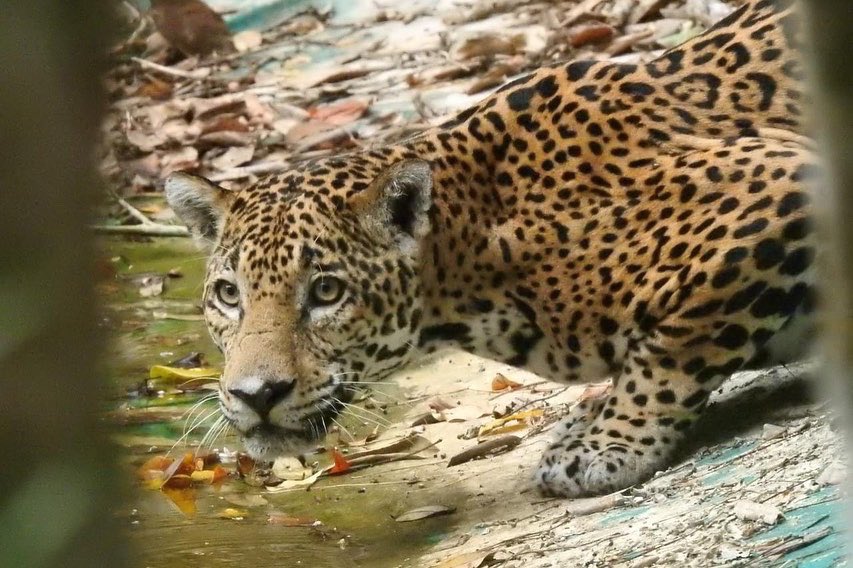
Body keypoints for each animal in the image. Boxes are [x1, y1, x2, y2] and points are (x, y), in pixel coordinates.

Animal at [165, 0, 817, 497]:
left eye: (326, 291)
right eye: (228, 295)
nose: (256, 395)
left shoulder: (776, 183)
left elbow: (671, 350)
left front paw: (607, 443)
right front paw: (587, 422)